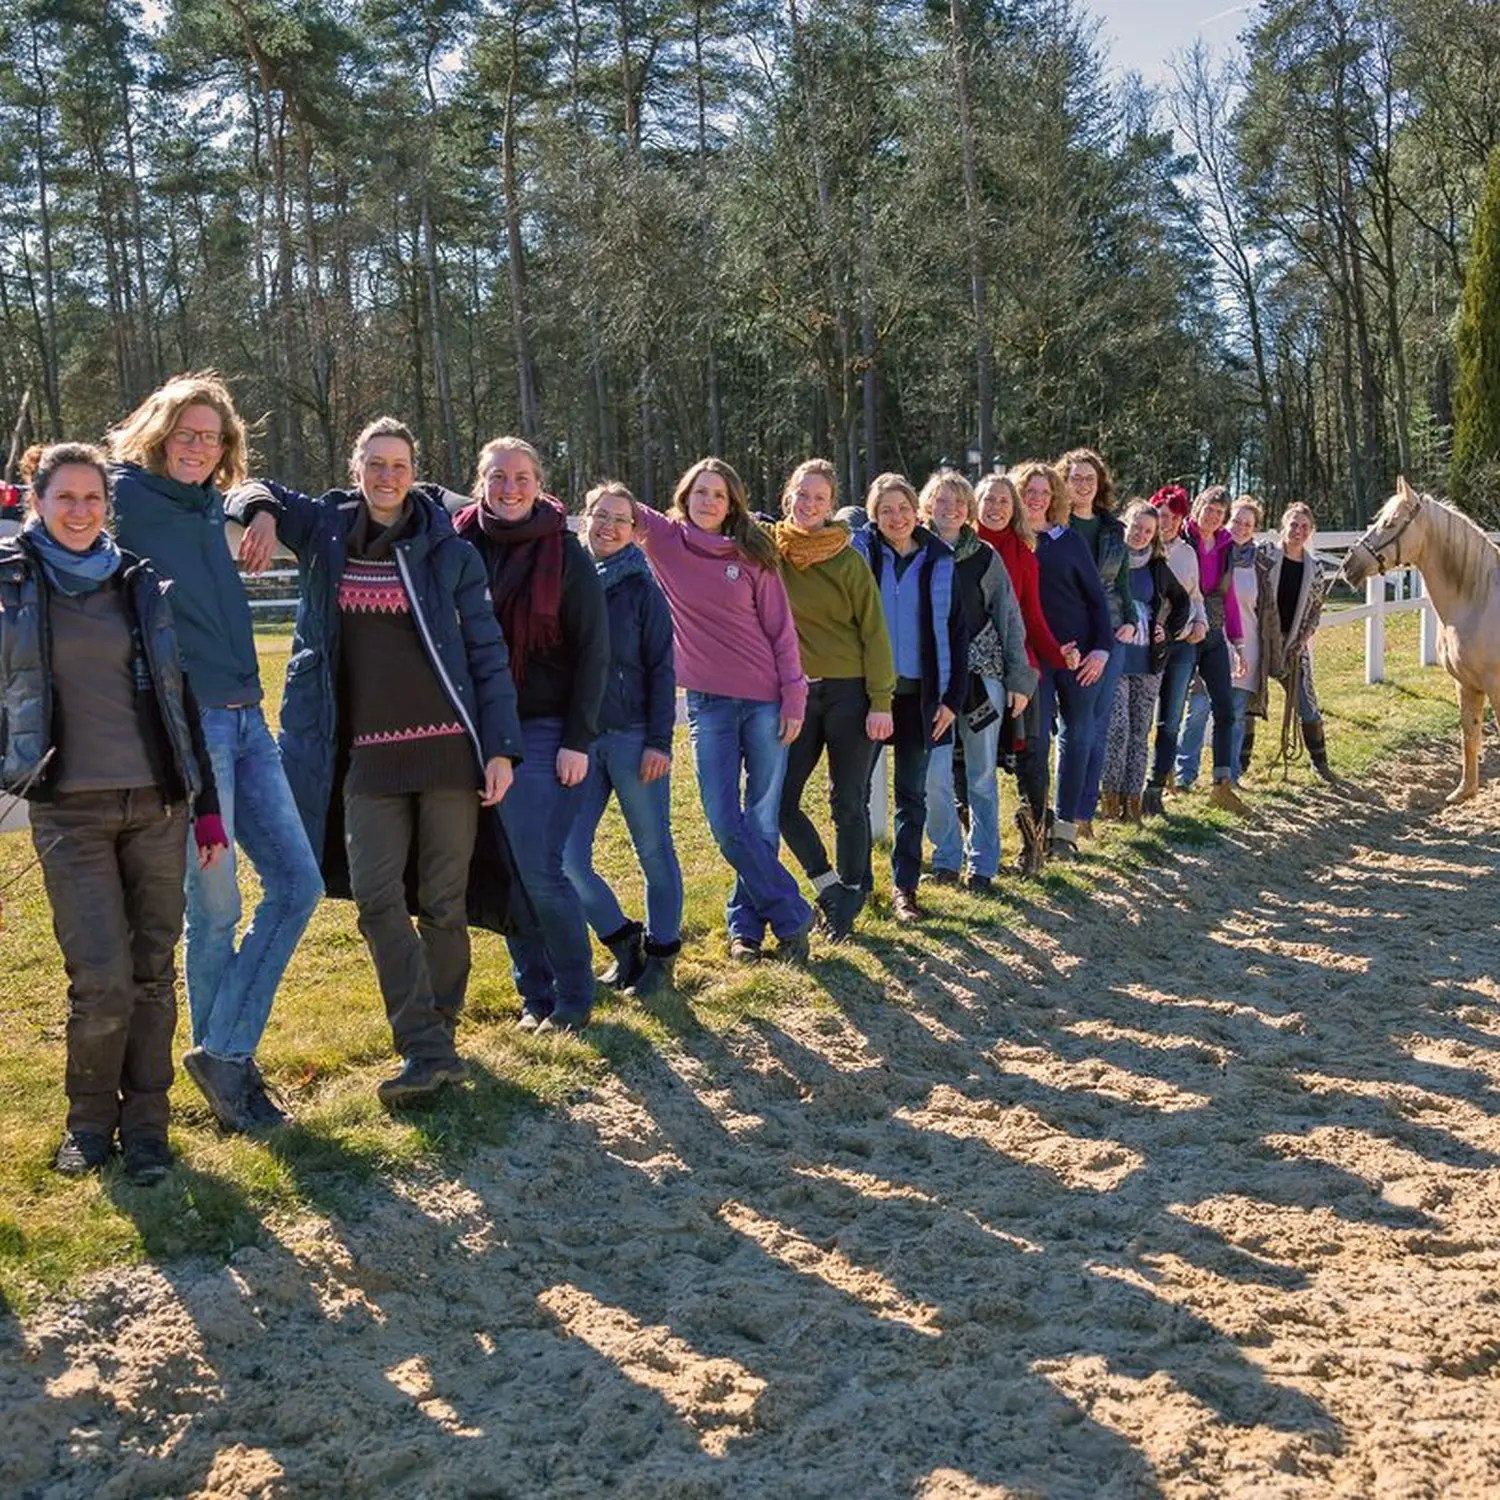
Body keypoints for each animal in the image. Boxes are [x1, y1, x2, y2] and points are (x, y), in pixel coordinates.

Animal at [1344, 483, 1500, 810]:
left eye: (1390, 523)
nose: (1348, 565)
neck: (1479, 602)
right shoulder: (1466, 683)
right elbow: (1469, 734)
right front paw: (1464, 791)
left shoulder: (1496, 686)